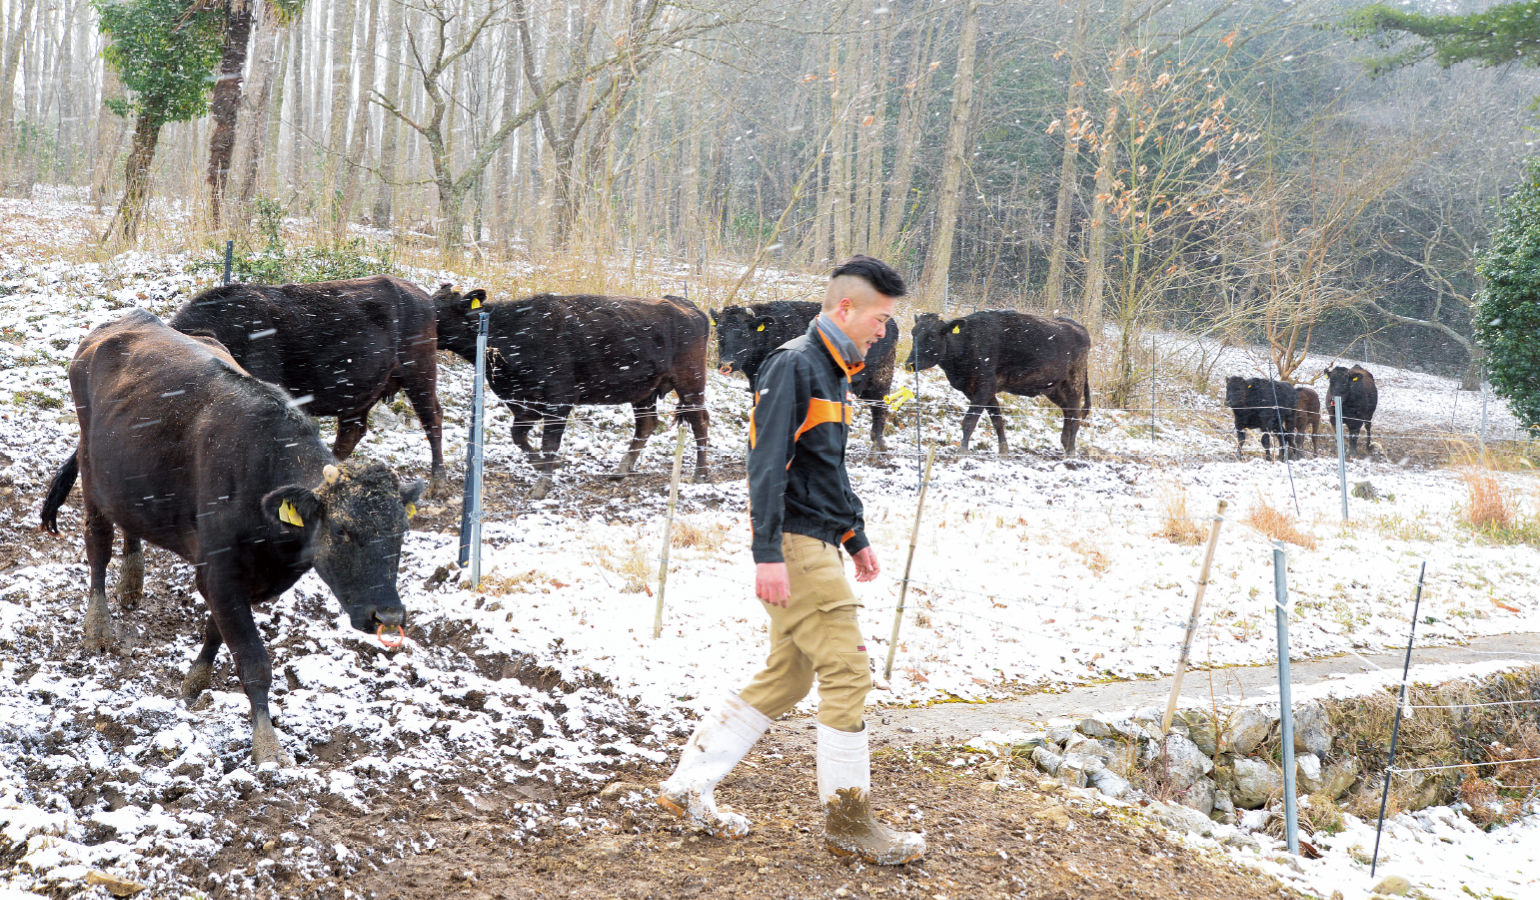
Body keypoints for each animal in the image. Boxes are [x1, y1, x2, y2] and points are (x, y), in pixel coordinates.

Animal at [42, 311, 428, 767]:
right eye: (341, 530)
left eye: (402, 531)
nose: (388, 616)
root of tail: (128, 320)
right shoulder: (218, 572)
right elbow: (253, 660)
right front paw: (268, 745)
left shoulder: (249, 579)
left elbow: (216, 631)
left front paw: (194, 681)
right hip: (92, 473)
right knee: (98, 545)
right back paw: (98, 627)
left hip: (128, 476)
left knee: (129, 523)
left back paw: (132, 582)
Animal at [170, 275, 446, 496]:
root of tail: (423, 296)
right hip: (362, 396)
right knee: (351, 433)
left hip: (420, 376)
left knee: (432, 418)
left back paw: (437, 482)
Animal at [434, 286, 708, 499]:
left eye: (437, 309)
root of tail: (687, 306)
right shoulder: (523, 405)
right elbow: (519, 436)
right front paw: (542, 465)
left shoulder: (559, 402)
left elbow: (549, 442)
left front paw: (541, 486)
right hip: (644, 393)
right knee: (647, 425)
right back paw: (621, 470)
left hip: (690, 383)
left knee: (699, 420)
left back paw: (700, 473)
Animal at [705, 302, 899, 453]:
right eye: (719, 332)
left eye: (744, 333)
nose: (726, 364)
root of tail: (890, 322)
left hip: (881, 377)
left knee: (880, 407)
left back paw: (877, 445)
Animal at [899, 312, 1096, 459]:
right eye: (913, 334)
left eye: (931, 336)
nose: (910, 363)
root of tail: (1077, 326)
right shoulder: (978, 390)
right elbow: (997, 420)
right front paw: (1003, 451)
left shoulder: (984, 387)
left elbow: (969, 421)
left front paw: (962, 451)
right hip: (1053, 388)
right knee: (1067, 411)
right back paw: (1065, 442)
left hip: (1075, 383)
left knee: (1075, 414)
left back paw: (1070, 451)